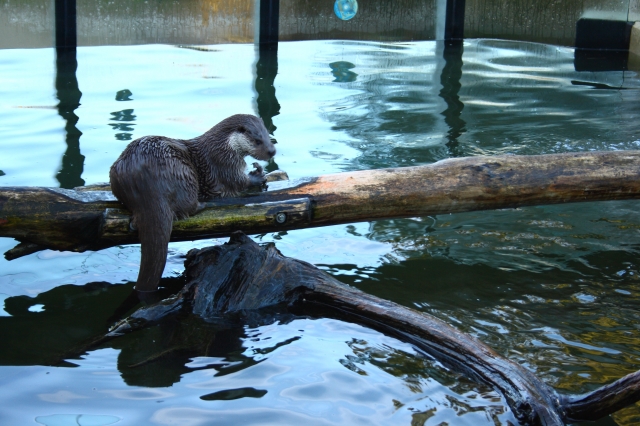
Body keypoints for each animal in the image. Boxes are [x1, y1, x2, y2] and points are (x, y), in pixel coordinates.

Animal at [108, 113, 278, 292]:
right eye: (257, 141)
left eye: (268, 136)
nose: (272, 151)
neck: (225, 145)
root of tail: (147, 182)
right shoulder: (225, 163)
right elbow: (238, 182)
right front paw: (257, 176)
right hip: (186, 175)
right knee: (189, 207)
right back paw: (203, 204)